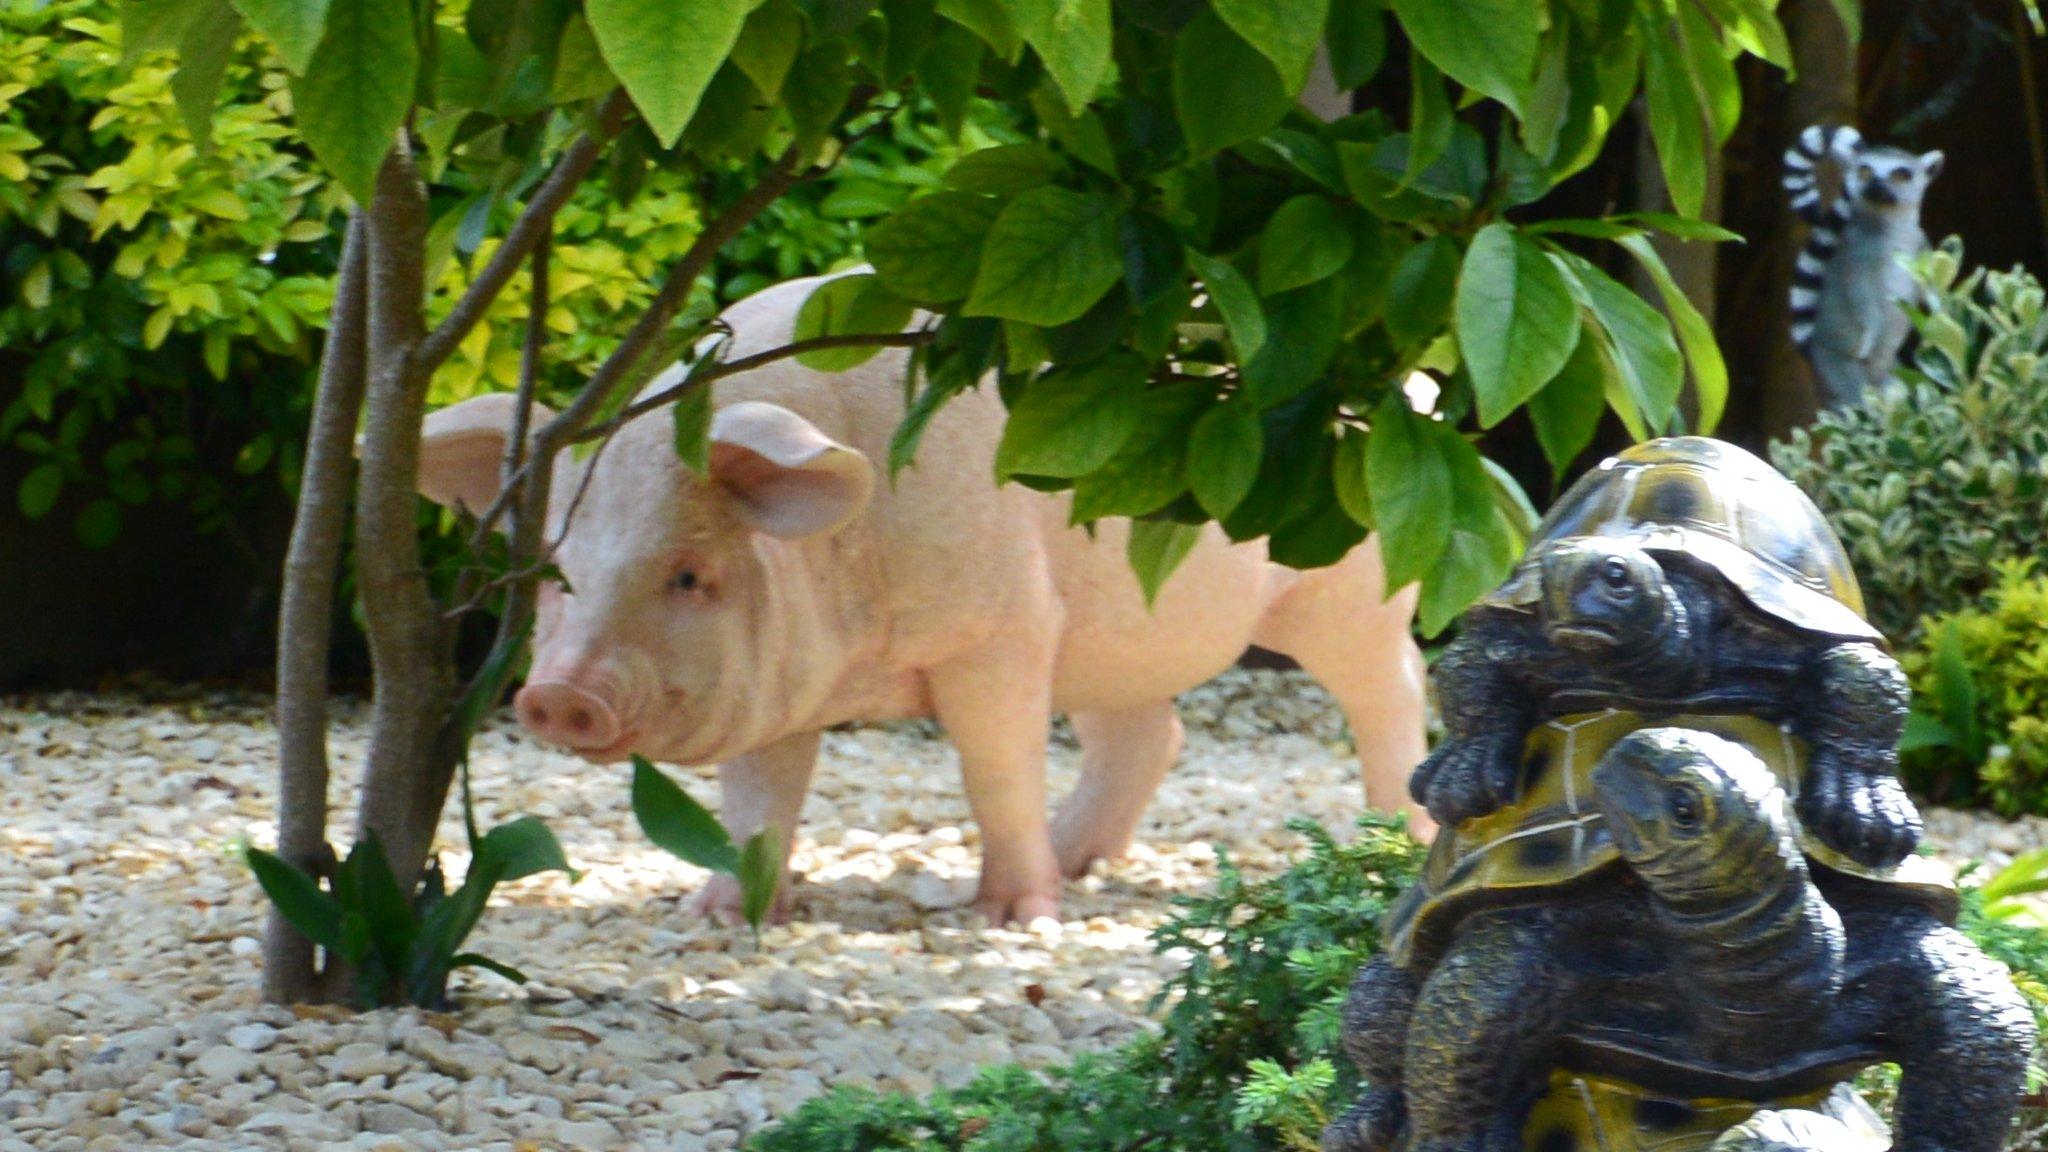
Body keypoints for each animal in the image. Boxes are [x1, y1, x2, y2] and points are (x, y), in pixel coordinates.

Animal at [416, 272, 1430, 925]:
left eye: (690, 573)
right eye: (557, 570)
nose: (558, 695)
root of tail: (1405, 378)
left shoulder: (1003, 629)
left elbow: (997, 770)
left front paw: (1014, 919)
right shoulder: (783, 682)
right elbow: (759, 797)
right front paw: (719, 915)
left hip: (1350, 590)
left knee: (1394, 692)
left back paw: (1398, 845)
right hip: (1107, 638)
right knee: (1151, 733)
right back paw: (1079, 863)